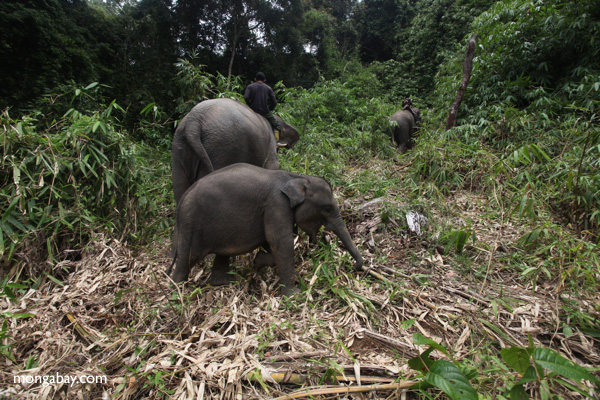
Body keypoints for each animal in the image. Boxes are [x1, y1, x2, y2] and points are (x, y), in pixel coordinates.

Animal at [166, 162, 364, 296]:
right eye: (327, 209)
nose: (354, 268)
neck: (296, 177)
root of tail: (182, 199)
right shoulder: (276, 205)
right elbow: (280, 241)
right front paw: (293, 295)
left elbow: (270, 243)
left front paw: (257, 262)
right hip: (192, 224)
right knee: (189, 256)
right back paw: (176, 290)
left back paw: (224, 283)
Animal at [171, 96, 300, 203]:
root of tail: (194, 122)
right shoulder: (269, 145)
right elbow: (272, 167)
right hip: (220, 145)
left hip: (180, 144)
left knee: (179, 185)